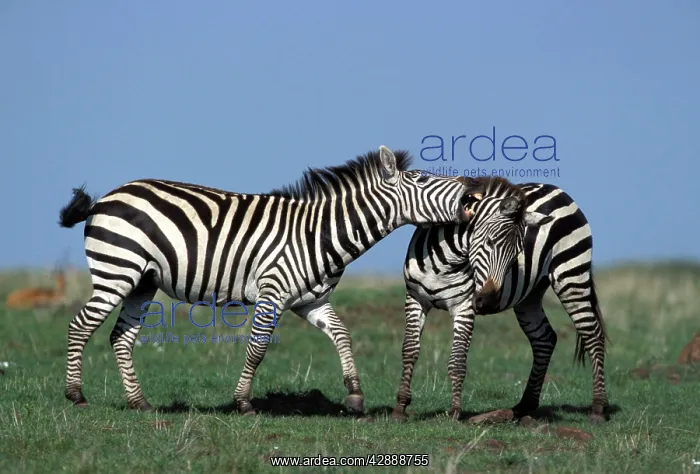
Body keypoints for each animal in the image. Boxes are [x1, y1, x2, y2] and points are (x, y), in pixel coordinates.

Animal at [57, 145, 487, 416]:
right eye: (421, 180)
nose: (471, 189)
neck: (318, 233)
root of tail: (105, 199)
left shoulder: (310, 300)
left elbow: (343, 335)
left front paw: (355, 395)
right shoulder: (273, 292)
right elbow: (258, 348)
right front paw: (243, 403)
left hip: (143, 281)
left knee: (120, 337)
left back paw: (139, 403)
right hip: (117, 270)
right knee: (79, 326)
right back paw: (76, 395)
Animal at [392, 176, 610, 424]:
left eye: (516, 254)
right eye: (489, 241)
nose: (486, 302)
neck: (443, 262)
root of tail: (557, 189)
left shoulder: (464, 306)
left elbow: (457, 360)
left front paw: (454, 413)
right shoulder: (415, 298)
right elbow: (409, 350)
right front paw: (400, 408)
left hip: (571, 275)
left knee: (593, 334)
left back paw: (598, 409)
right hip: (530, 296)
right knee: (544, 338)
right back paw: (524, 406)